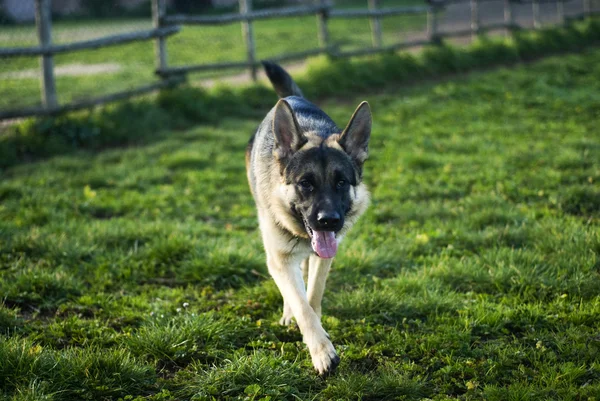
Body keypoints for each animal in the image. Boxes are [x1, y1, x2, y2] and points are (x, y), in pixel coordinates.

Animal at [244, 61, 370, 374]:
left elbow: (313, 296)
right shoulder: (278, 258)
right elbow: (301, 304)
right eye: (305, 184)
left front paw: (319, 336)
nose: (328, 220)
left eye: (341, 183)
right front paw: (322, 351)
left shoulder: (325, 255)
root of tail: (292, 99)